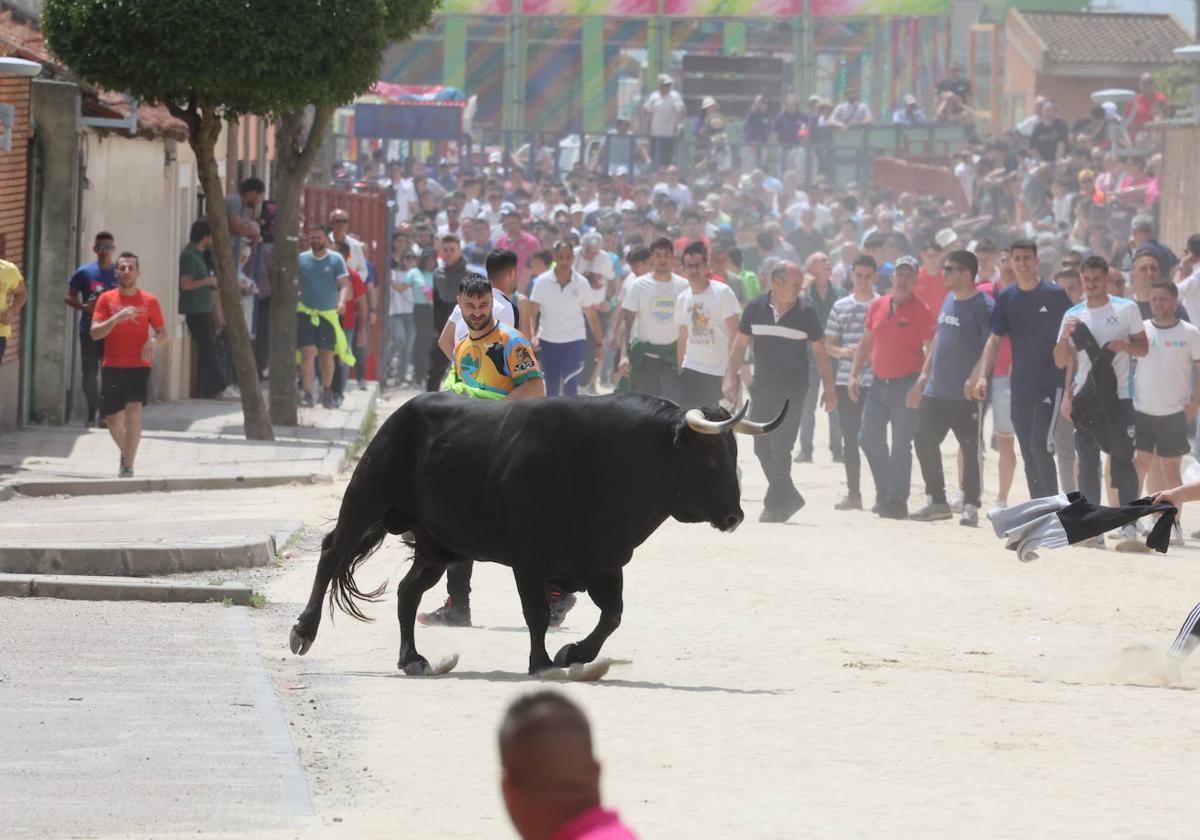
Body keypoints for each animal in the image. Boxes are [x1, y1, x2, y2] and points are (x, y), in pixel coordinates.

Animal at [285, 391, 782, 676]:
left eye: (734, 453)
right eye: (708, 458)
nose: (735, 516)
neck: (611, 458)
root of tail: (403, 413)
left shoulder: (606, 561)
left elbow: (612, 616)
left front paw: (574, 654)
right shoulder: (529, 561)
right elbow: (537, 614)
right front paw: (542, 663)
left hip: (438, 542)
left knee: (408, 591)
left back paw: (412, 659)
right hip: (366, 498)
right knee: (332, 553)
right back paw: (303, 633)